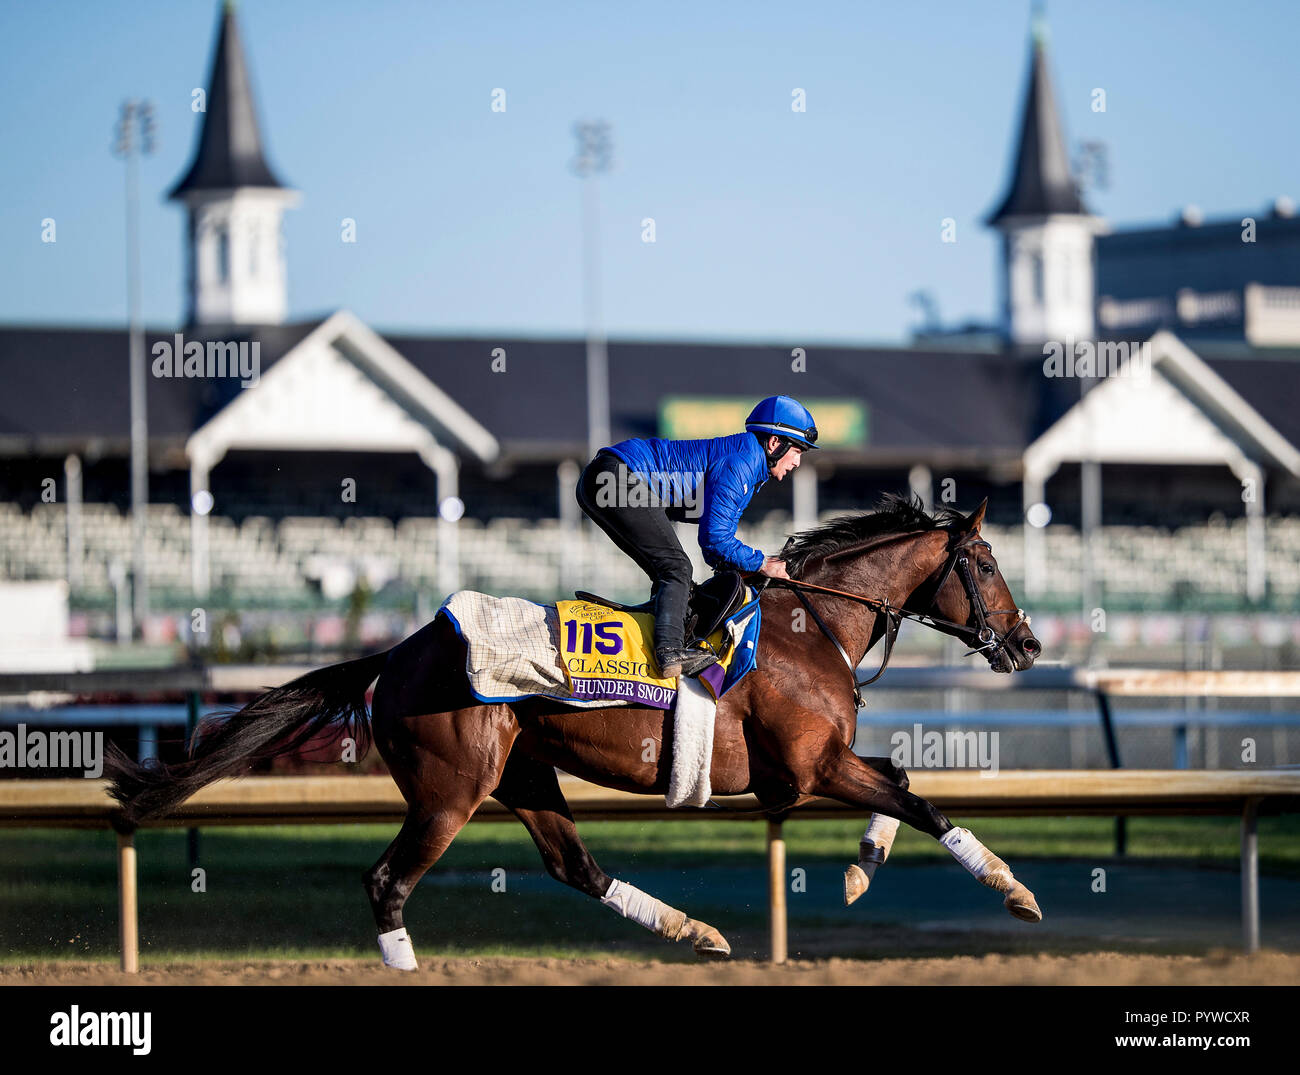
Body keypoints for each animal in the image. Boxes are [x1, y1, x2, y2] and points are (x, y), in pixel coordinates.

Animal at [109, 496, 1045, 967]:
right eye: (986, 561)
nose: (1029, 643)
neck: (810, 623)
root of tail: (401, 650)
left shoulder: (807, 770)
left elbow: (901, 783)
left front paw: (859, 867)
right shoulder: (810, 768)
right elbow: (921, 798)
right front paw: (1011, 887)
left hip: (523, 775)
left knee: (575, 866)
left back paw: (694, 930)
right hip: (450, 791)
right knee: (386, 882)